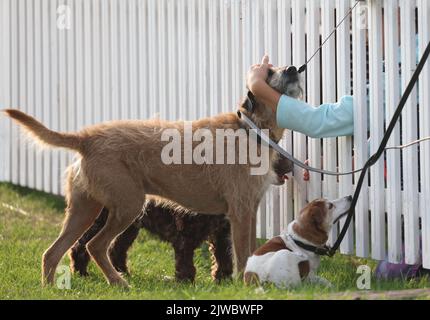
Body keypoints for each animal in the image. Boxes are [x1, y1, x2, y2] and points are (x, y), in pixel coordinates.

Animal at [2, 65, 302, 288]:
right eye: (269, 72)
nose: (293, 68)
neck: (251, 130)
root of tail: (86, 138)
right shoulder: (240, 211)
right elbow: (243, 252)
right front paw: (246, 284)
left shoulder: (250, 209)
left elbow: (251, 250)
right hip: (128, 206)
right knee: (95, 245)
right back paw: (119, 283)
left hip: (84, 211)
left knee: (53, 252)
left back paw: (52, 287)